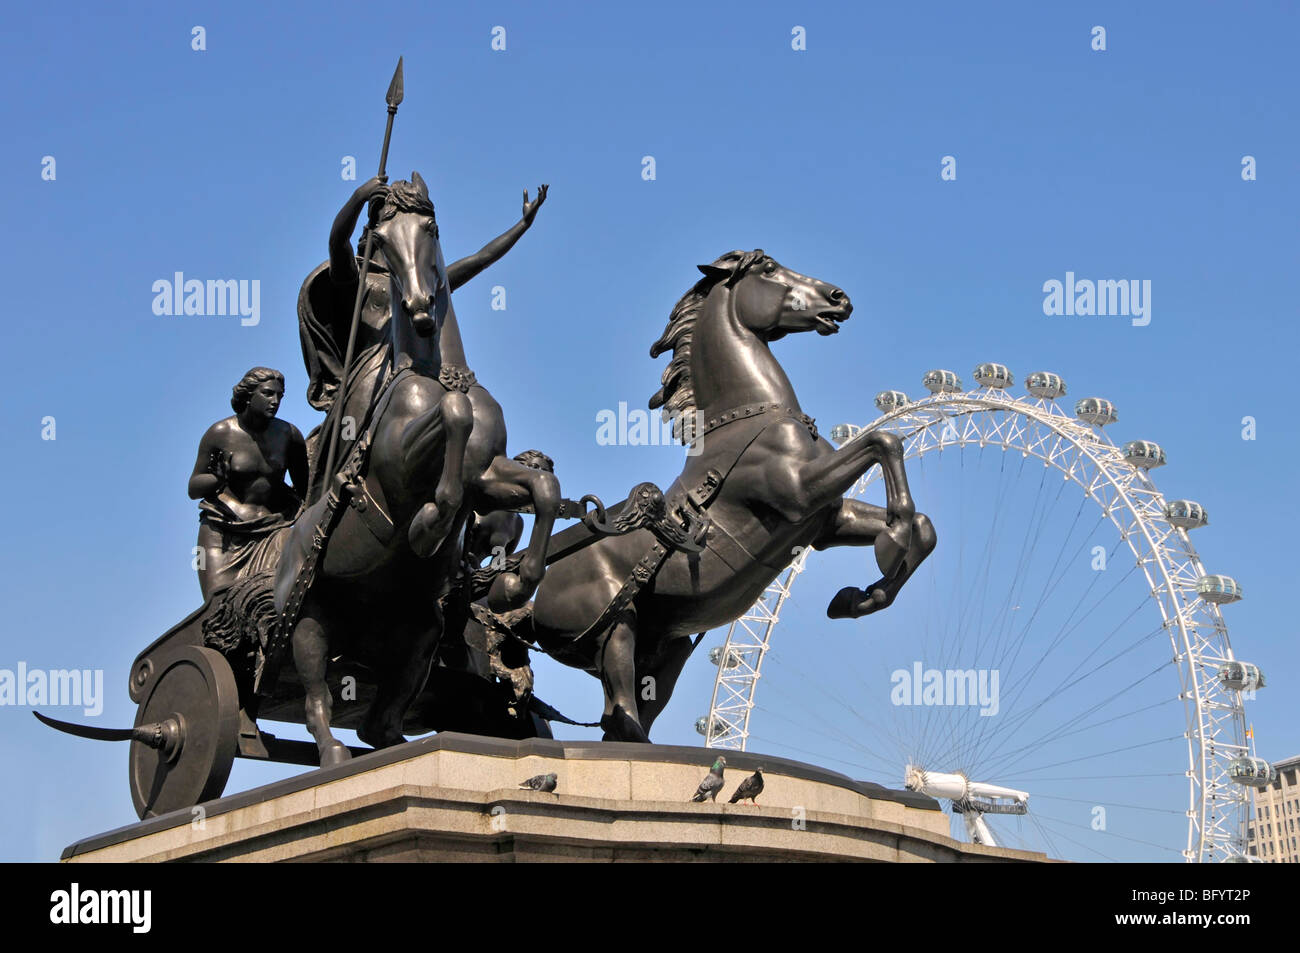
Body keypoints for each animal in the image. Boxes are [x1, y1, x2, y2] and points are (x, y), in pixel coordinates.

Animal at [514, 250, 935, 743]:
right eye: (769, 269)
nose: (839, 298)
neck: (753, 415)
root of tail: (535, 598)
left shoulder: (823, 523)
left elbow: (923, 525)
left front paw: (858, 598)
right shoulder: (799, 492)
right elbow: (885, 442)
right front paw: (890, 546)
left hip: (668, 650)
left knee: (622, 718)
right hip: (614, 631)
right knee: (619, 715)